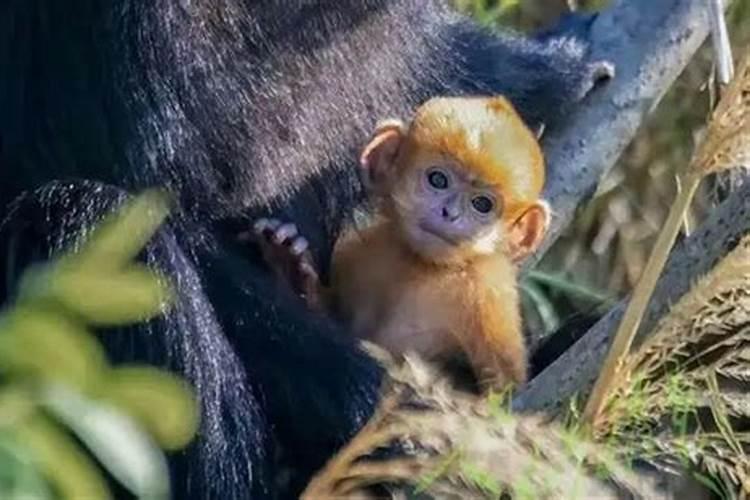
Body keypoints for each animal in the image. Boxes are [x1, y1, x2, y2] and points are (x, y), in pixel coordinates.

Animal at [256, 94, 548, 390]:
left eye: (482, 204)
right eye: (438, 179)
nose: (450, 213)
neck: (421, 264)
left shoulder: (486, 289)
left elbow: (503, 386)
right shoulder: (364, 247)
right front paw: (290, 264)